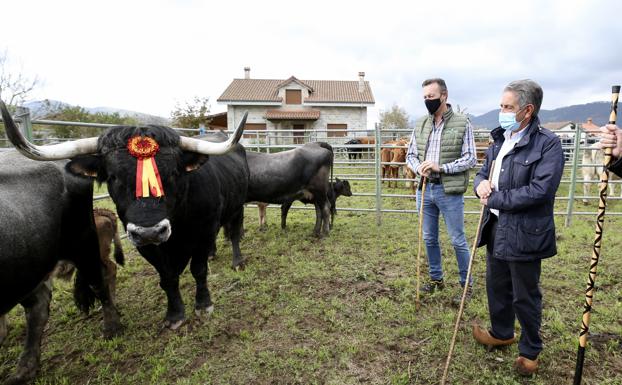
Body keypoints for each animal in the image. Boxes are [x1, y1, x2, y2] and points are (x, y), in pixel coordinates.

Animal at [2, 100, 251, 332]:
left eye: (173, 173)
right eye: (113, 177)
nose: (150, 231)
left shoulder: (204, 231)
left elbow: (198, 270)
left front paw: (203, 305)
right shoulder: (146, 246)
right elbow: (168, 278)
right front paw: (174, 315)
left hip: (236, 207)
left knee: (235, 233)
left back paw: (237, 261)